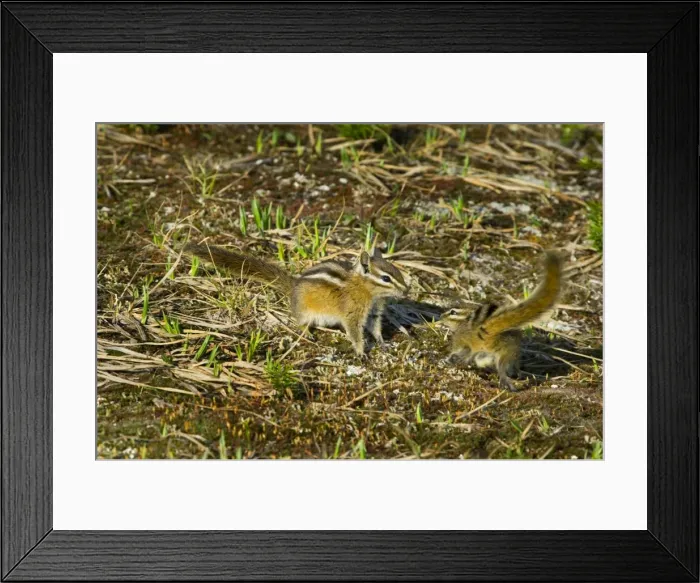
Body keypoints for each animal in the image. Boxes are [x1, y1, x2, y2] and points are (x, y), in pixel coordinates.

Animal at [184, 244, 408, 356]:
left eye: (397, 272)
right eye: (386, 278)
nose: (407, 291)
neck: (368, 291)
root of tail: (293, 287)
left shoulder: (374, 312)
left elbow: (376, 328)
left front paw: (382, 343)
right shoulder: (353, 314)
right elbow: (355, 333)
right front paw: (361, 352)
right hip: (306, 312)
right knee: (299, 322)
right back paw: (306, 333)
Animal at [441, 250, 565, 391]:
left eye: (453, 312)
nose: (441, 316)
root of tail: (488, 327)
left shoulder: (461, 342)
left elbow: (460, 354)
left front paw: (449, 360)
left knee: (497, 367)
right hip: (508, 351)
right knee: (504, 366)